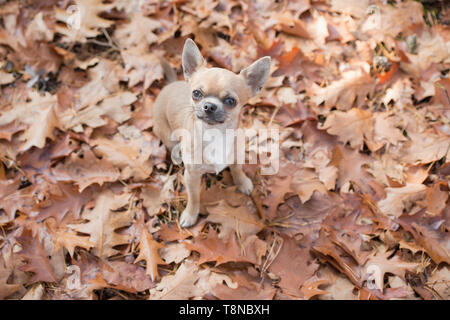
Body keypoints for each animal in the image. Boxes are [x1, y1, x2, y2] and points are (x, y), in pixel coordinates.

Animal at [151, 38, 270, 226]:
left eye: (230, 101)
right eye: (196, 93)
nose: (209, 106)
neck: (215, 134)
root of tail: (170, 85)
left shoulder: (235, 156)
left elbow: (237, 170)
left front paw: (243, 182)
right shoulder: (191, 176)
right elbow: (194, 198)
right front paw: (190, 215)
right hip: (167, 135)